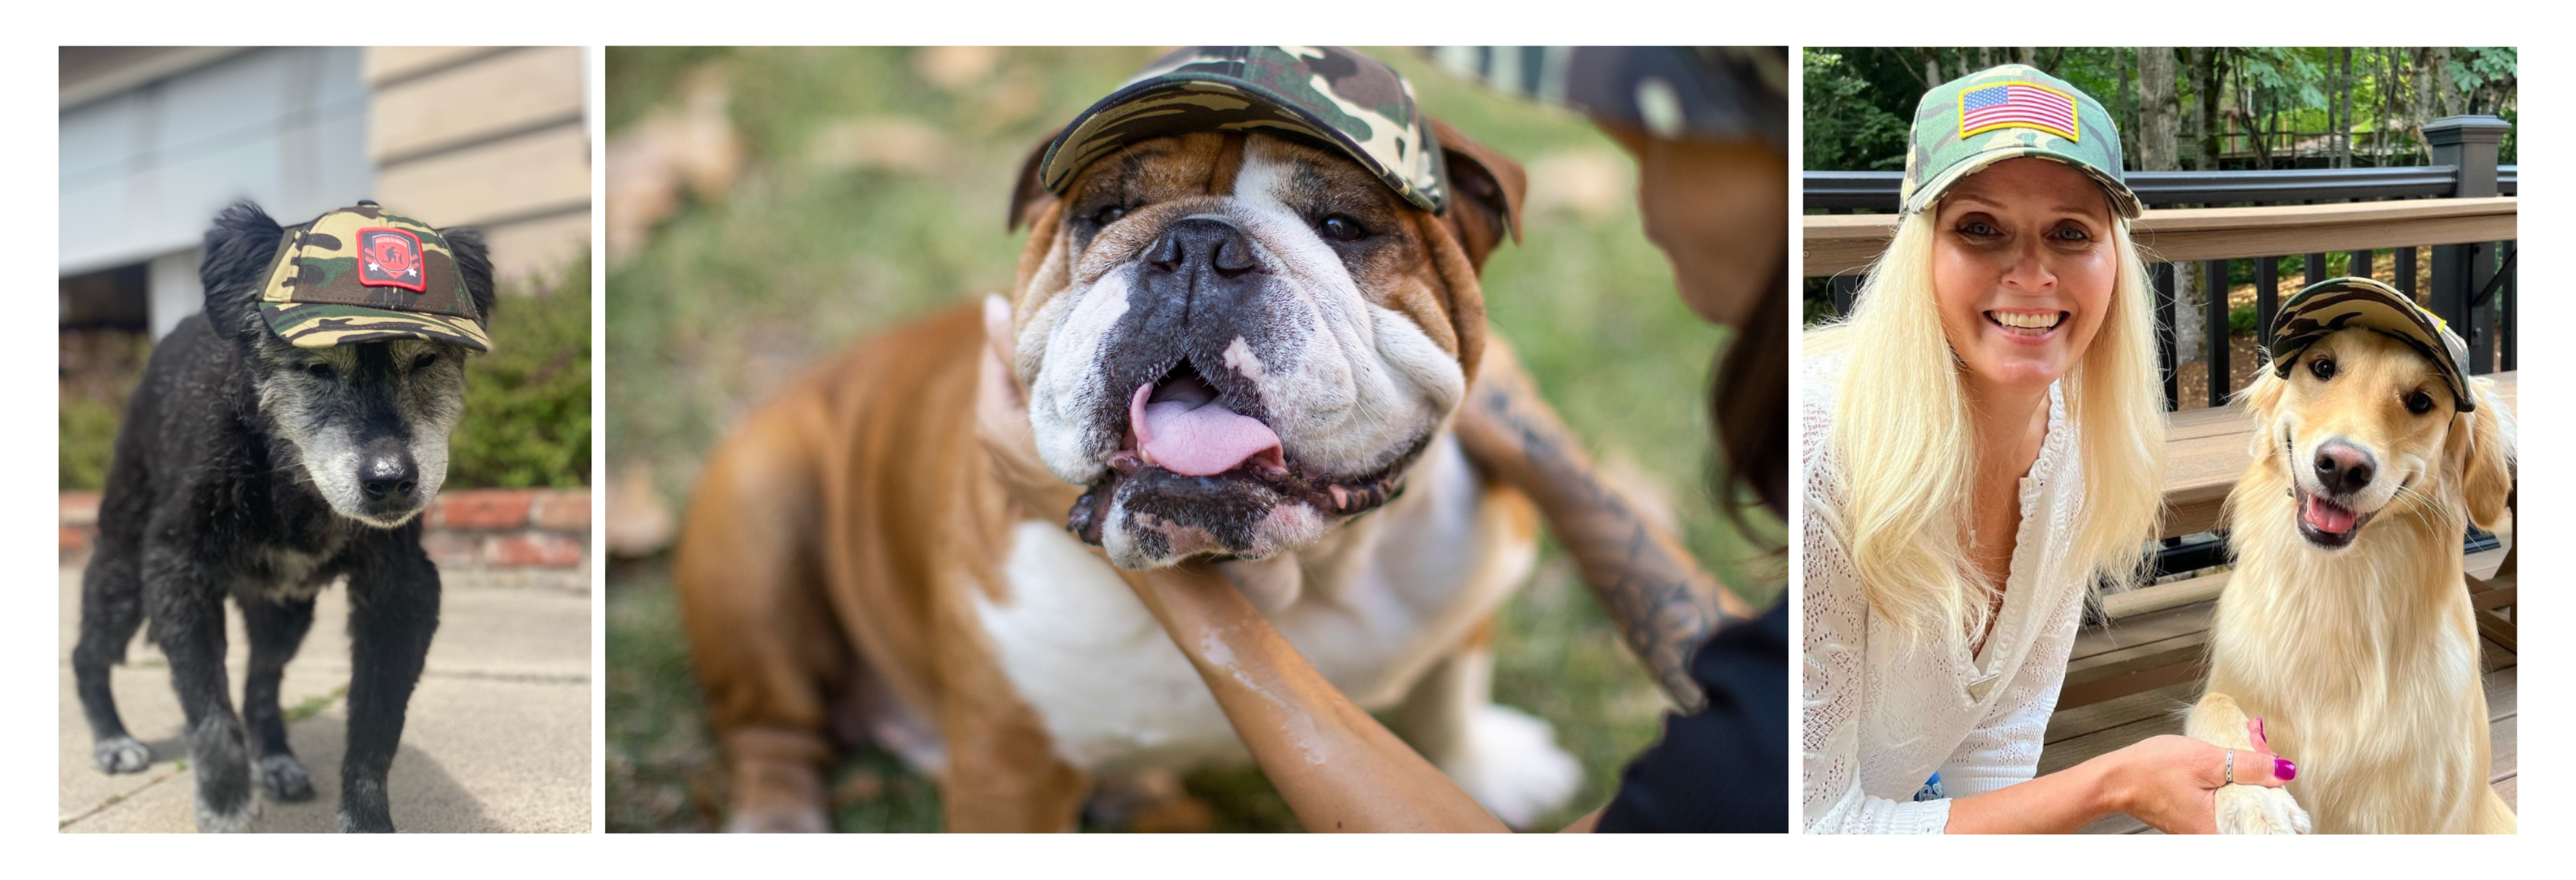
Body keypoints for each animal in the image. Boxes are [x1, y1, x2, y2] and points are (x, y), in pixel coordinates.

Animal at [72, 200, 491, 834]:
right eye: (317, 368)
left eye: (424, 360)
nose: (390, 481)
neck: (289, 482)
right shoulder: (177, 572)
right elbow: (209, 712)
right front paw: (225, 807)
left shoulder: (404, 592)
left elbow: (375, 731)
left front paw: (367, 821)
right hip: (124, 571)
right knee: (89, 652)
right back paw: (113, 739)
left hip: (285, 613)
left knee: (259, 684)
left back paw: (274, 758)